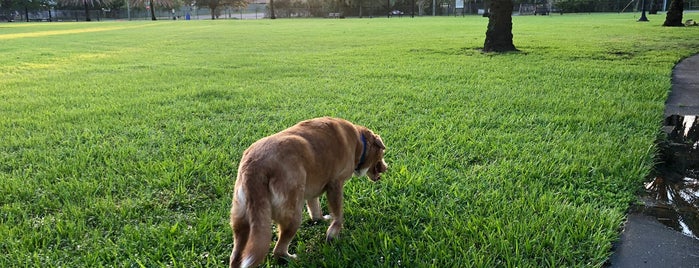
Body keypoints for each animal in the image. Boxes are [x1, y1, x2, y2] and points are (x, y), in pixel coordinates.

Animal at [230, 117, 388, 268]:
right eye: (382, 152)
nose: (386, 168)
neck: (359, 143)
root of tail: (255, 168)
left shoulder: (313, 189)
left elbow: (315, 209)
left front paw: (321, 219)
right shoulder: (335, 185)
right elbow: (338, 214)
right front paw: (333, 233)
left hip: (242, 223)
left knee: (236, 257)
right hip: (292, 215)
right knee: (278, 251)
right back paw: (293, 259)